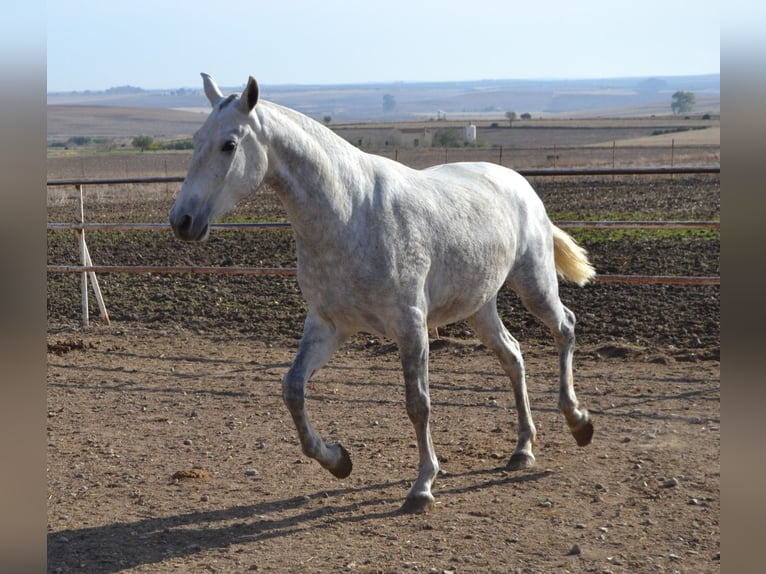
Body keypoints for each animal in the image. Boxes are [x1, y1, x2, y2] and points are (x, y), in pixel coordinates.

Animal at [171, 73, 596, 516]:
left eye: (229, 144)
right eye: (197, 139)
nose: (182, 221)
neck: (350, 214)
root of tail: (519, 184)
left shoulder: (410, 325)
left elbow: (418, 403)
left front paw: (422, 486)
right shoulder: (327, 325)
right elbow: (293, 389)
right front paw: (337, 460)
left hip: (534, 283)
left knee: (565, 327)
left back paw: (578, 422)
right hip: (479, 306)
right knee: (513, 357)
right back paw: (522, 449)